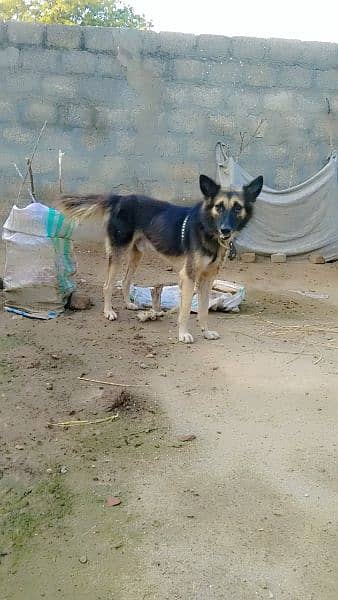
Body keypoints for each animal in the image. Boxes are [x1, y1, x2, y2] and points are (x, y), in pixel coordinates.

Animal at [59, 173, 262, 342]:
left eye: (237, 208)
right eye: (219, 207)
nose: (225, 230)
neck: (207, 229)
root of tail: (119, 198)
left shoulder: (207, 278)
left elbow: (203, 310)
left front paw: (206, 331)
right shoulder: (188, 276)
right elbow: (186, 309)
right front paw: (183, 334)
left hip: (137, 254)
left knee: (125, 281)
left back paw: (128, 304)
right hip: (118, 251)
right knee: (108, 285)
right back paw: (108, 312)